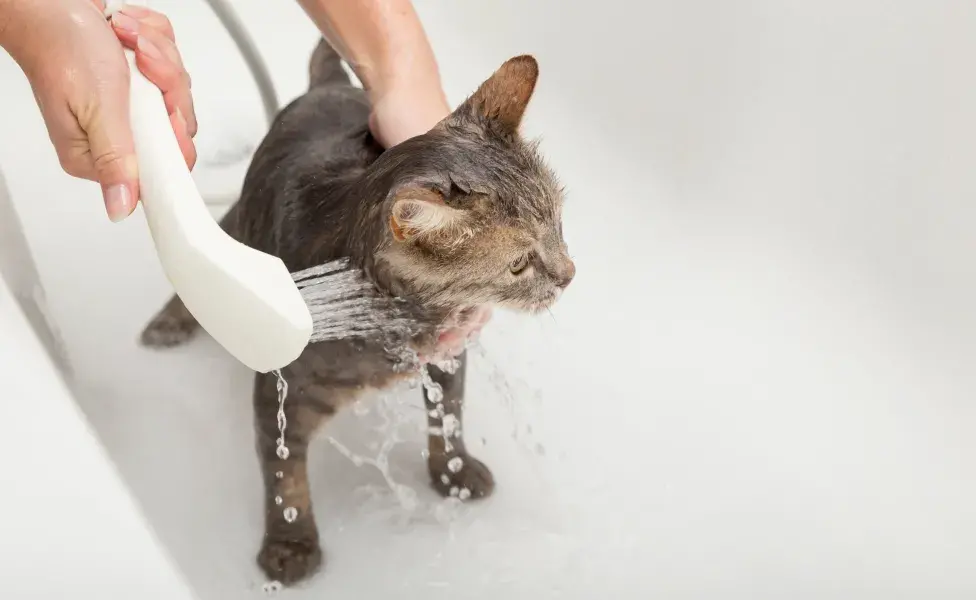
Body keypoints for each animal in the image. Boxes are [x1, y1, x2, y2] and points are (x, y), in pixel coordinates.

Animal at [141, 39, 576, 584]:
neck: (399, 325)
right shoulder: (285, 392)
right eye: (519, 264)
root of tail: (328, 86)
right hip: (239, 225)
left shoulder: (448, 356)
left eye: (558, 223)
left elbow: (449, 418)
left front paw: (452, 473)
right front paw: (290, 543)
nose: (569, 274)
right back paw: (169, 322)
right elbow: (284, 474)